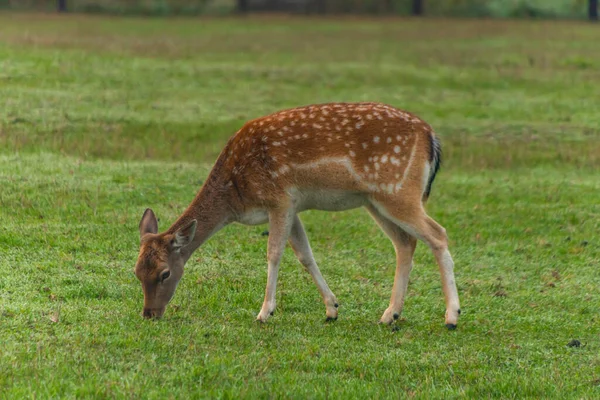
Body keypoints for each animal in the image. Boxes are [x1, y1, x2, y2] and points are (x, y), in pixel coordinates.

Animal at [136, 101, 462, 330]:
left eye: (164, 273)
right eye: (137, 272)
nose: (149, 314)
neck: (235, 194)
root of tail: (431, 138)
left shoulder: (279, 199)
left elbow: (274, 253)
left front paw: (264, 312)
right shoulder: (293, 207)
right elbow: (305, 254)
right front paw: (332, 309)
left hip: (398, 191)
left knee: (438, 234)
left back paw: (452, 316)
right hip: (375, 200)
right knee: (405, 243)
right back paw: (390, 314)